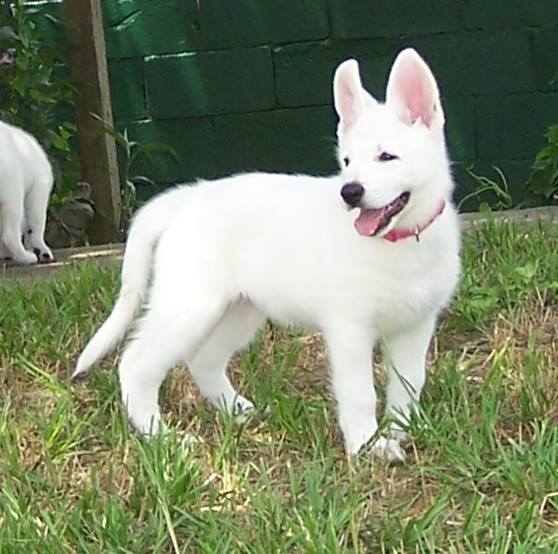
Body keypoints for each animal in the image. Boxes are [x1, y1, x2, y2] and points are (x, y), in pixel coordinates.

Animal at [0, 120, 54, 266]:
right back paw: (26, 257)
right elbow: (37, 223)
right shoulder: (39, 188)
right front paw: (42, 251)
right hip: (13, 193)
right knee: (9, 235)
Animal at [76, 48, 462, 462]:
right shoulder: (350, 329)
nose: (350, 192)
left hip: (240, 309)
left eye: (387, 157)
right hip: (189, 306)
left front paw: (401, 432)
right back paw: (162, 437)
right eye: (346, 162)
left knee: (203, 360)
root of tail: (185, 198)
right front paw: (366, 445)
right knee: (135, 365)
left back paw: (236, 410)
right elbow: (360, 394)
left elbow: (408, 385)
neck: (400, 243)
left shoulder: (416, 326)